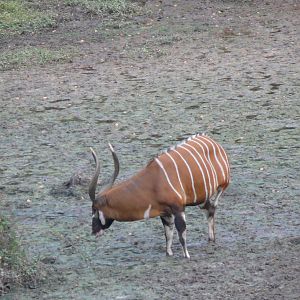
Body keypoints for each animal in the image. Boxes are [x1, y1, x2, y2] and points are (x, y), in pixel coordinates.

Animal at [89, 134, 230, 258]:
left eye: (94, 210)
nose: (94, 231)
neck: (153, 181)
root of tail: (214, 143)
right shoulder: (165, 213)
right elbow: (168, 235)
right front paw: (169, 254)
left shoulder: (178, 208)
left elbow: (181, 233)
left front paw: (187, 256)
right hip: (202, 198)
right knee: (209, 209)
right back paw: (211, 239)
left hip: (222, 185)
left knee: (213, 206)